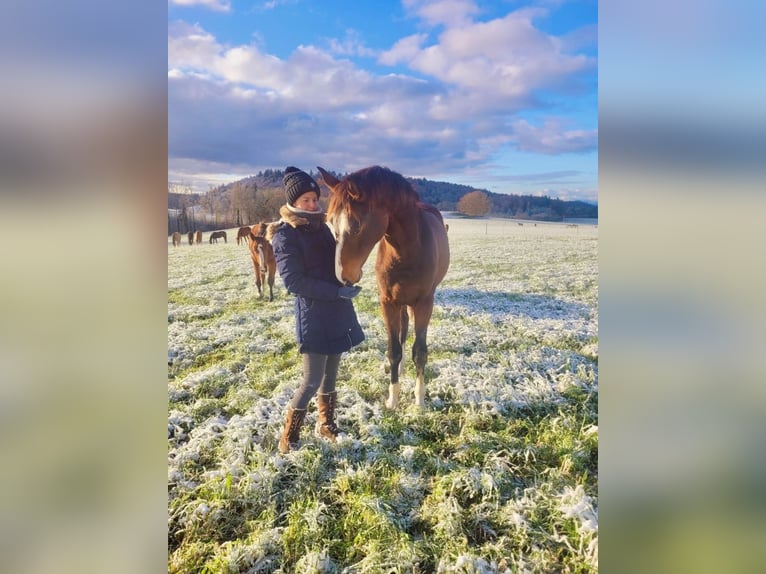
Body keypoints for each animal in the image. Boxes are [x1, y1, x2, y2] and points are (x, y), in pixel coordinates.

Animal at [318, 164, 450, 412]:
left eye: (356, 225)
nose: (343, 276)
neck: (406, 251)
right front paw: (393, 399)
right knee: (403, 331)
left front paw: (419, 400)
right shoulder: (388, 302)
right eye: (331, 223)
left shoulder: (424, 303)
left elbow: (420, 351)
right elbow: (394, 350)